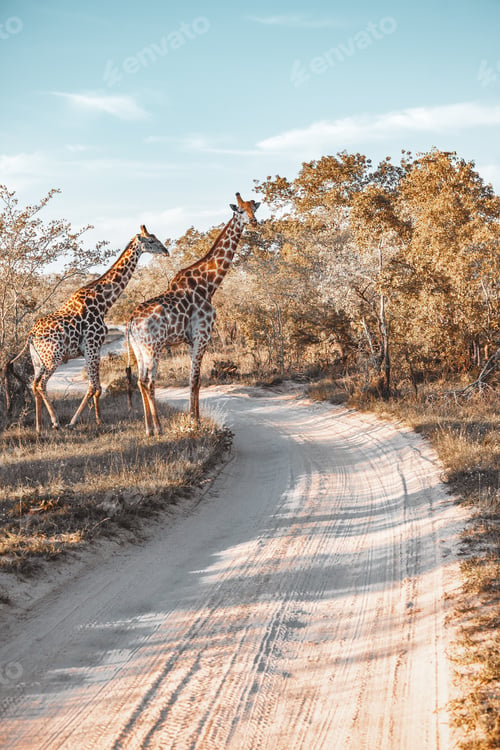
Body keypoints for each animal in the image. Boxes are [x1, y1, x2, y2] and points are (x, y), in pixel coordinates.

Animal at [13, 225, 169, 433]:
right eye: (151, 241)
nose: (166, 251)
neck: (104, 303)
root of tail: (31, 335)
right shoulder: (92, 346)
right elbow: (93, 387)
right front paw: (76, 421)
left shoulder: (91, 349)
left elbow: (97, 387)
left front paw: (98, 420)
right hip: (53, 357)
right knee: (41, 384)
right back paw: (55, 422)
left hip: (37, 360)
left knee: (35, 384)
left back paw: (39, 426)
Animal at [127, 193, 260, 435]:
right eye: (240, 211)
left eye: (253, 208)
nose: (254, 222)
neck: (208, 285)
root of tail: (130, 323)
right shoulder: (202, 336)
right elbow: (196, 380)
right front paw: (194, 422)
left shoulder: (190, 340)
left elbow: (194, 380)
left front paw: (194, 418)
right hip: (154, 346)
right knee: (149, 381)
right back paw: (159, 427)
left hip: (138, 348)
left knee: (140, 380)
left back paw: (149, 428)